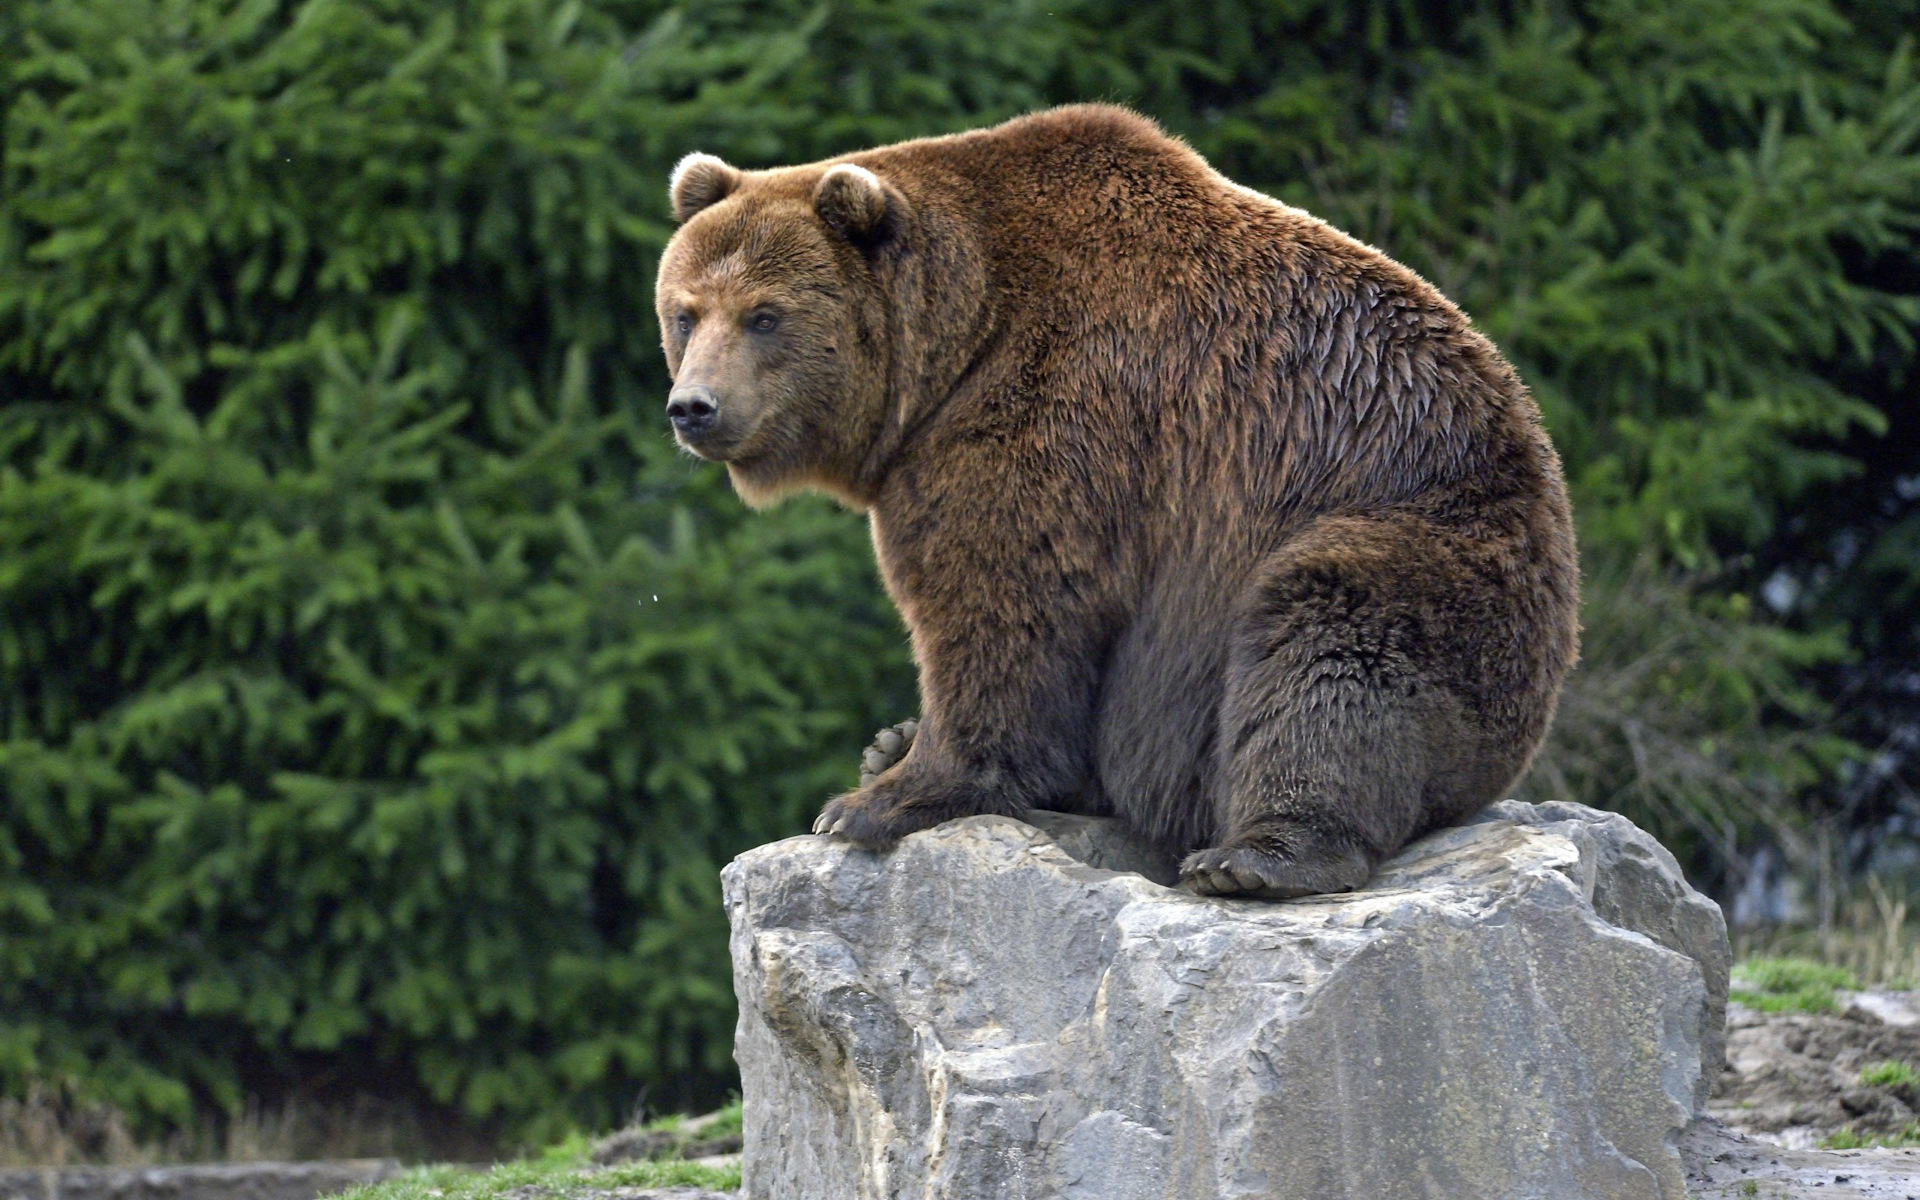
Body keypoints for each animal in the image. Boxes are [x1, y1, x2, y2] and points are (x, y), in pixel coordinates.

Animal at [656, 102, 1574, 894]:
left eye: (765, 315)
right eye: (685, 311)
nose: (693, 406)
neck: (956, 344)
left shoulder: (1052, 415)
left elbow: (1003, 597)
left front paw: (875, 802)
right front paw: (896, 753)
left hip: (1436, 542)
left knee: (1332, 636)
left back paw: (1258, 856)